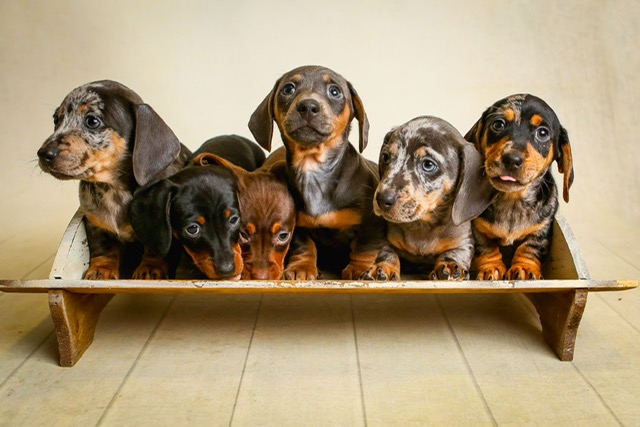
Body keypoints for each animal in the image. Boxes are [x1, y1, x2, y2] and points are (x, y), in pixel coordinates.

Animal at [37, 80, 191, 280]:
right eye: (56, 120)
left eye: (92, 121)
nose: (43, 154)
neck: (114, 189)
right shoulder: (95, 224)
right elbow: (103, 248)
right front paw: (101, 269)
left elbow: (154, 249)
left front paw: (151, 268)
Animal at [248, 65, 400, 280]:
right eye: (288, 89)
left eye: (335, 91)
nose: (308, 106)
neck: (314, 170)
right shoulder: (298, 225)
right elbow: (304, 245)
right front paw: (302, 267)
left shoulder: (371, 222)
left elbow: (364, 247)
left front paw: (359, 269)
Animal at [374, 116, 494, 280]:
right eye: (386, 157)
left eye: (428, 164)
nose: (382, 199)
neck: (423, 226)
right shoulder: (387, 238)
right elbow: (387, 252)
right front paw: (384, 267)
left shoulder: (464, 242)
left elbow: (455, 253)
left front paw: (449, 265)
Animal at [464, 94, 574, 280]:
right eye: (498, 124)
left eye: (542, 133)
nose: (512, 159)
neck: (512, 201)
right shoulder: (476, 228)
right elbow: (485, 247)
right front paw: (491, 268)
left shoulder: (541, 228)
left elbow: (530, 247)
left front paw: (524, 267)